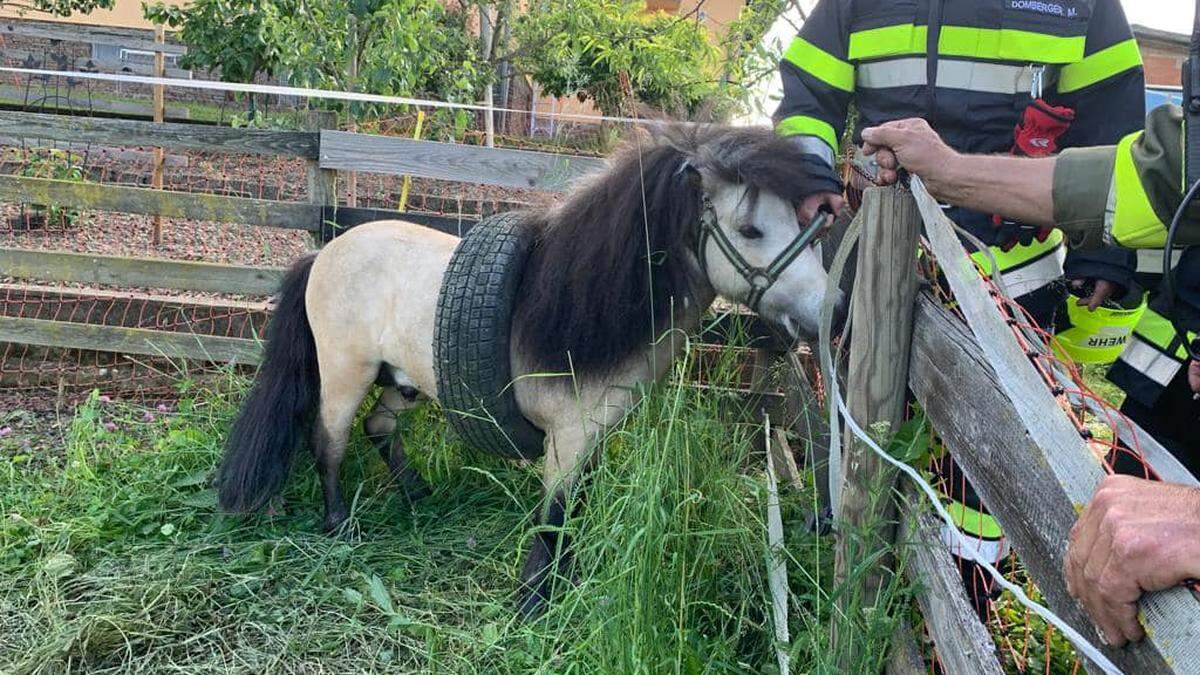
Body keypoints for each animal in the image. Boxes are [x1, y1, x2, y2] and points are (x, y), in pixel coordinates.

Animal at [211, 123, 844, 619]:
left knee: (380, 429)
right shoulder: (567, 439)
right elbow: (552, 518)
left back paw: (417, 493)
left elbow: (575, 512)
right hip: (346, 377)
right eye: (751, 230)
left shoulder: (595, 437)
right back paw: (339, 522)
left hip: (406, 380)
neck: (574, 308)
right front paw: (536, 601)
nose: (831, 312)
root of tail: (324, 253)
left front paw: (569, 578)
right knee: (330, 441)